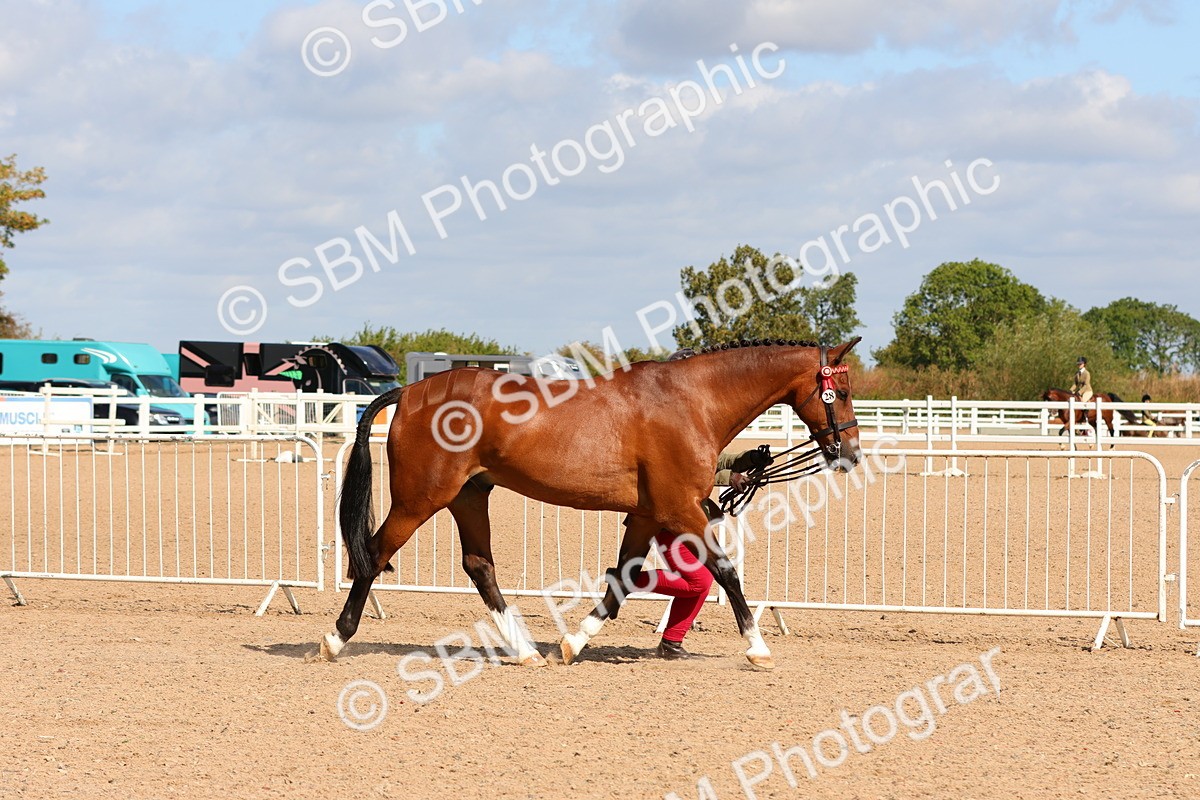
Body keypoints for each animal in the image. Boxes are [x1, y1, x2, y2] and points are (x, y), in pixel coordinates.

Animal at [316, 337, 863, 670]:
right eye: (839, 391)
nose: (851, 453)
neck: (692, 401)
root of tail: (409, 392)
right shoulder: (680, 510)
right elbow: (726, 572)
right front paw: (758, 647)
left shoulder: (646, 515)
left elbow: (625, 578)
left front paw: (573, 641)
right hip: (420, 499)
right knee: (375, 554)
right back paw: (335, 638)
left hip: (469, 497)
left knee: (479, 566)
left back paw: (525, 650)